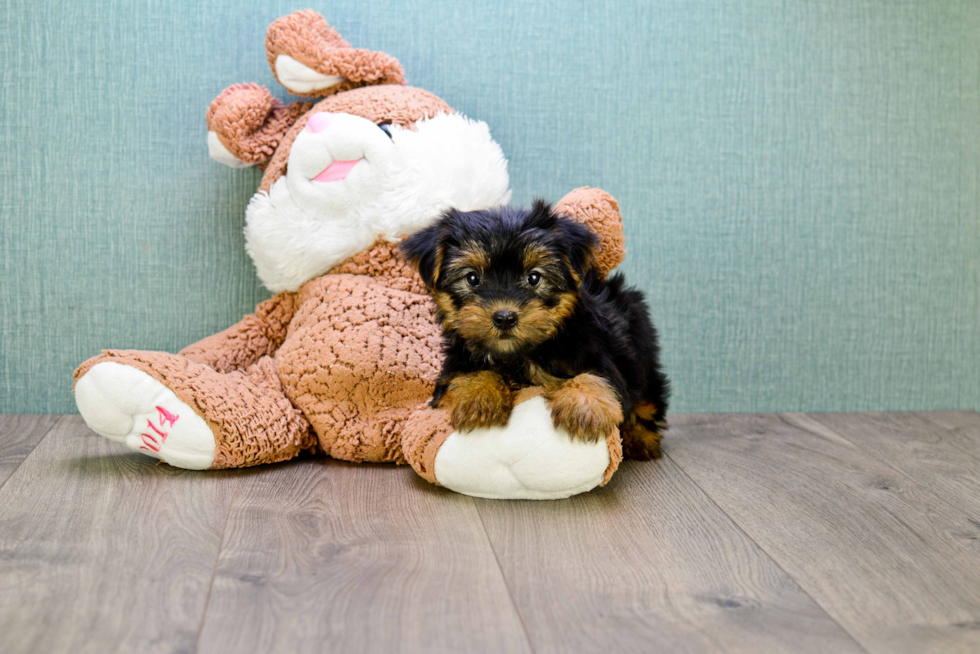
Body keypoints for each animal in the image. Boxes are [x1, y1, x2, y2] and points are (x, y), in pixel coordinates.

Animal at [398, 200, 668, 462]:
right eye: (472, 278)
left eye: (534, 278)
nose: (505, 318)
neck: (519, 355)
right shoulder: (454, 363)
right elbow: (467, 372)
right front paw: (479, 396)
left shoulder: (600, 350)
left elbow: (598, 376)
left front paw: (584, 407)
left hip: (642, 353)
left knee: (648, 400)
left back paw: (640, 439)